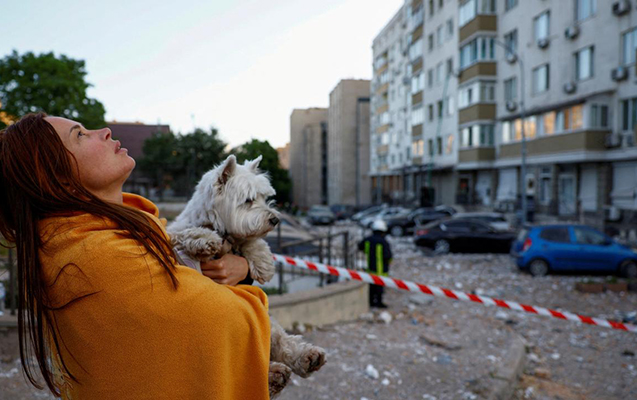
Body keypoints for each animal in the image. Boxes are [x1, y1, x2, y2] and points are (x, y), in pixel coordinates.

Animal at [167, 155, 326, 398]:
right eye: (249, 200)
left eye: (264, 198)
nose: (275, 220)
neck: (220, 228)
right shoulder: (174, 233)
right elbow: (186, 233)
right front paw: (206, 239)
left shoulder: (239, 239)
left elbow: (250, 240)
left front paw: (263, 262)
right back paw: (273, 376)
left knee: (281, 342)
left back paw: (305, 359)